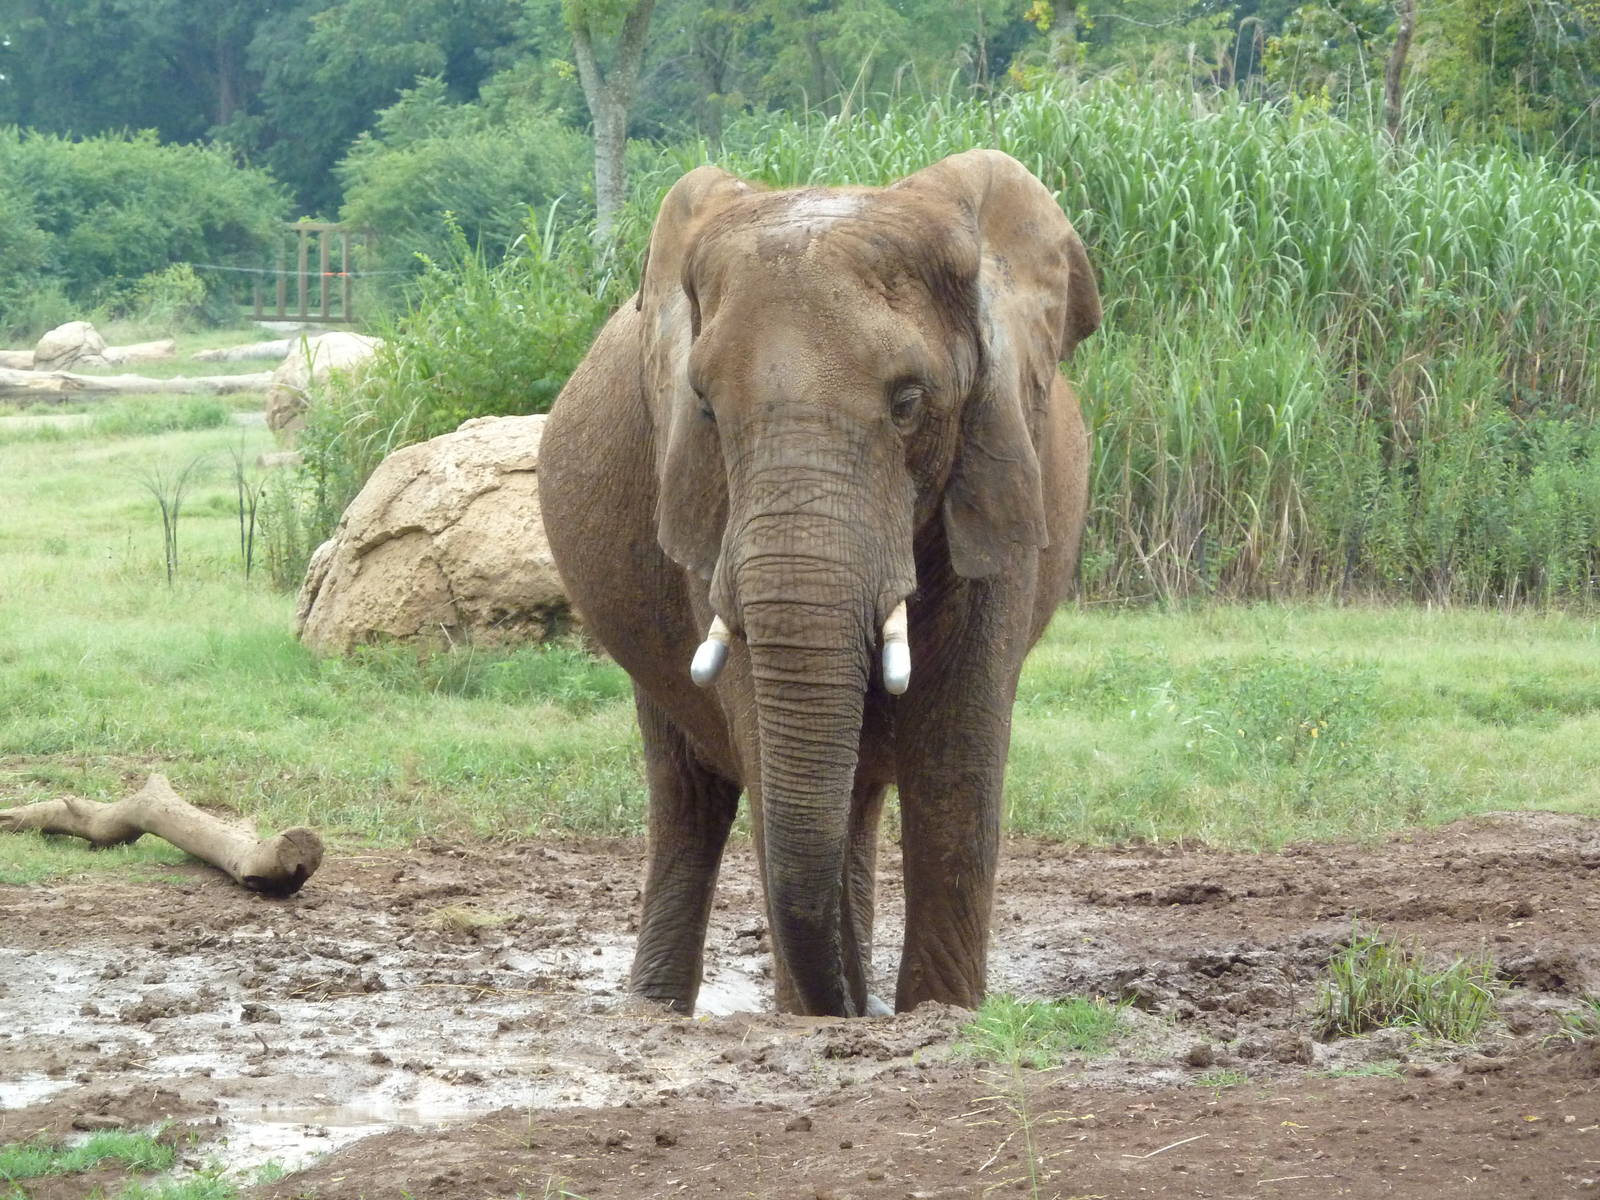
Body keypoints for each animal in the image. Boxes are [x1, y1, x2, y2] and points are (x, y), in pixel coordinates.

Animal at [537, 149, 1100, 1018]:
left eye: (908, 403)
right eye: (705, 408)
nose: (854, 1008)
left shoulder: (1001, 456)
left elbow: (956, 759)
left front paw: (939, 1014)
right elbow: (766, 750)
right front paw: (820, 1022)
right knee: (688, 795)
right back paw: (657, 1011)